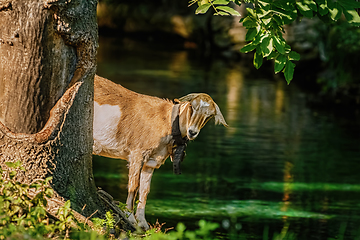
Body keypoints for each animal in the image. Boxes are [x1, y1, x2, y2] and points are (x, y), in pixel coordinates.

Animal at [93, 74, 228, 229]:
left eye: (209, 116)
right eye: (191, 107)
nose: (192, 132)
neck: (167, 121)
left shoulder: (151, 160)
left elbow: (145, 190)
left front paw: (143, 223)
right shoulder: (138, 152)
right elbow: (134, 186)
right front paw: (130, 218)